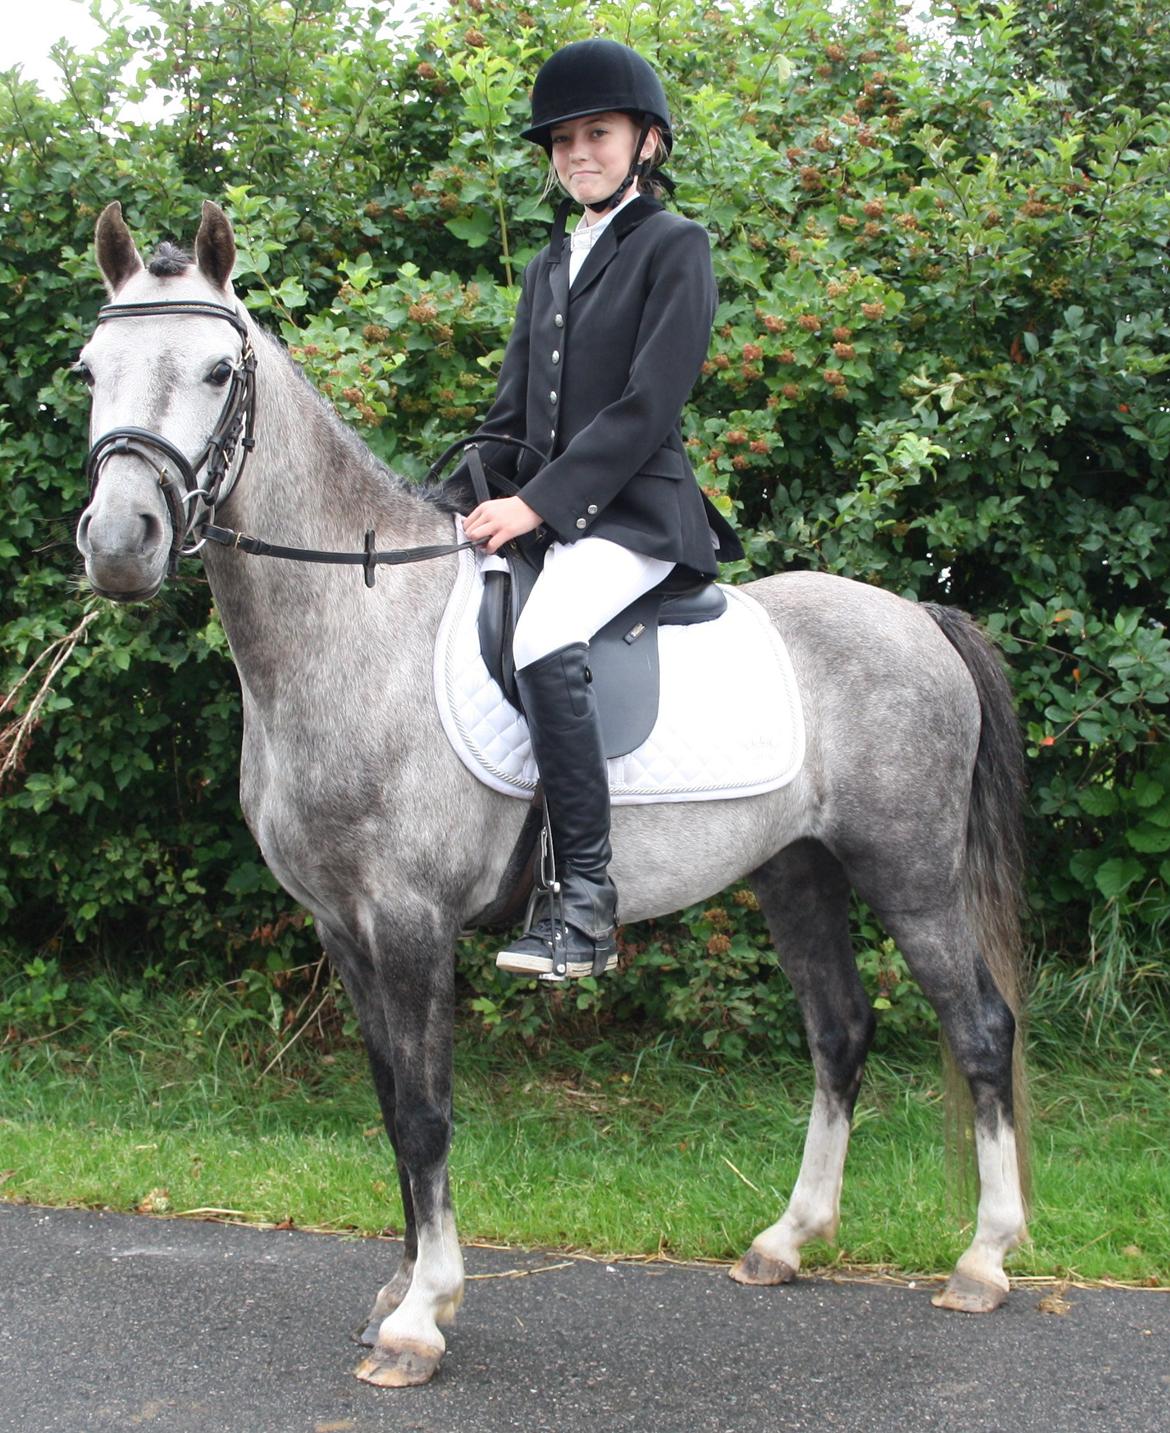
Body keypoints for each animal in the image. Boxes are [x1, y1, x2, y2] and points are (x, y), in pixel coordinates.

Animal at [74, 201, 1029, 1388]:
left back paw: (985, 1258)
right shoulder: (342, 926)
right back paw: (786, 1241)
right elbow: (391, 1103)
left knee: (979, 1026)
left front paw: (421, 1314)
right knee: (839, 1031)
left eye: (216, 370)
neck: (354, 621)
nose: (121, 545)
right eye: (89, 369)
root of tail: (917, 616)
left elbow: (427, 1111)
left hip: (908, 870)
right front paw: (399, 1286)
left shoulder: (410, 921)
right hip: (795, 871)